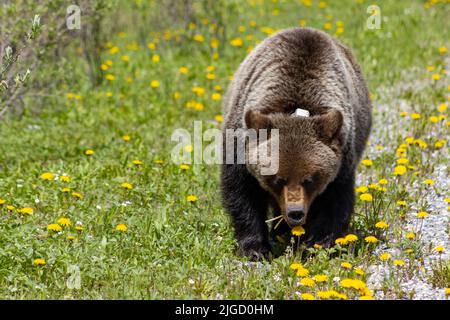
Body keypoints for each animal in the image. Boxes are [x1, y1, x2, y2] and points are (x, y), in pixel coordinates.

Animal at [221, 28, 372, 260]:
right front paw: (256, 248)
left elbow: (334, 201)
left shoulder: (343, 158)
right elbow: (242, 193)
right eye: (278, 179)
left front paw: (316, 245)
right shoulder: (240, 144)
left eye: (310, 179)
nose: (295, 213)